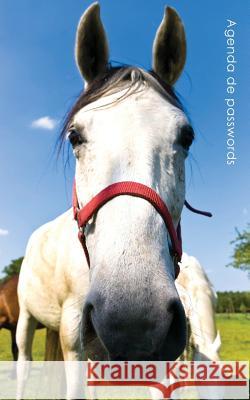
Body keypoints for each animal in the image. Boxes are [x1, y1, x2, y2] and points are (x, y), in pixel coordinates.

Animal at [16, 2, 198, 394]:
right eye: (75, 136)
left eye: (186, 136)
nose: (133, 324)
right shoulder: (73, 336)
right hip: (25, 320)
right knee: (22, 364)